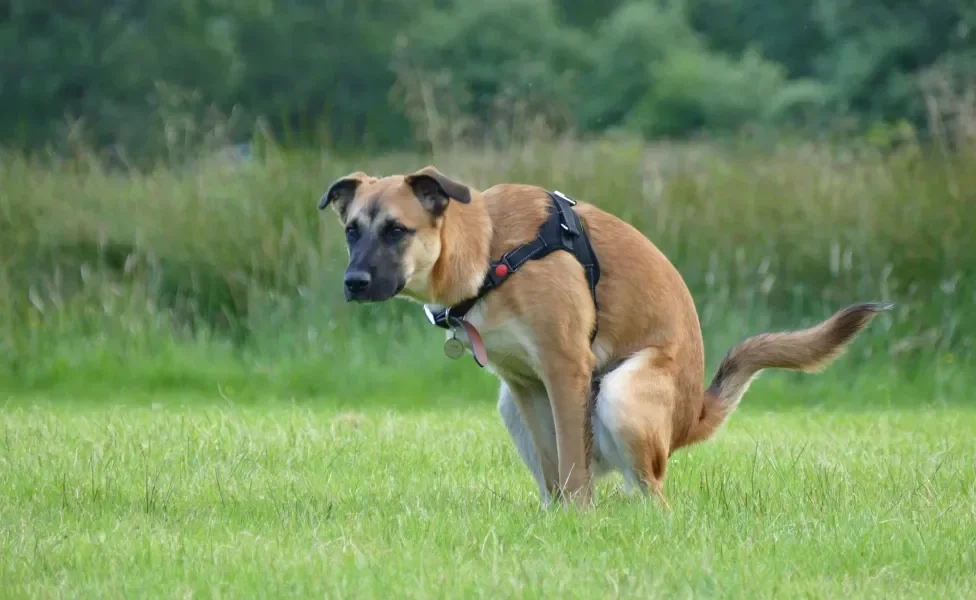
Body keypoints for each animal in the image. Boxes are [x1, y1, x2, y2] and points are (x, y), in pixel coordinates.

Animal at [320, 166, 892, 508]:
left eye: (397, 230)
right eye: (351, 230)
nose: (353, 283)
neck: (491, 251)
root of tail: (694, 416)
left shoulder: (565, 369)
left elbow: (572, 463)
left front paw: (579, 520)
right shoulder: (527, 384)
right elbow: (556, 465)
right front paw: (559, 519)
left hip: (622, 390)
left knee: (655, 495)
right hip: (510, 405)